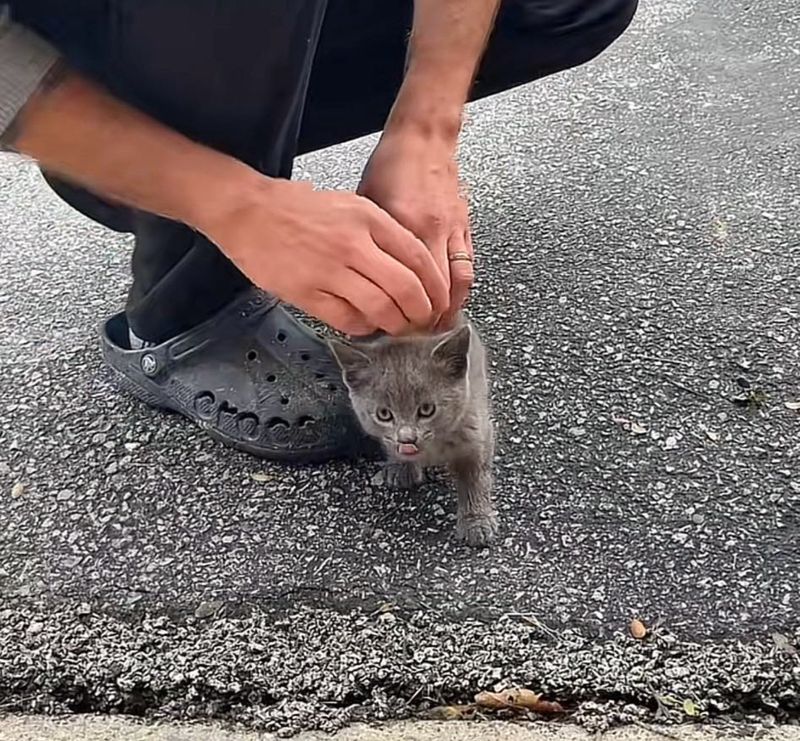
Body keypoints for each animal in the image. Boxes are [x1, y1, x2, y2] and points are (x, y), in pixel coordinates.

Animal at [330, 316, 494, 548]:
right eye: (384, 414)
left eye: (427, 409)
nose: (407, 438)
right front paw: (401, 466)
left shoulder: (476, 431)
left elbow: (474, 477)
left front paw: (476, 521)